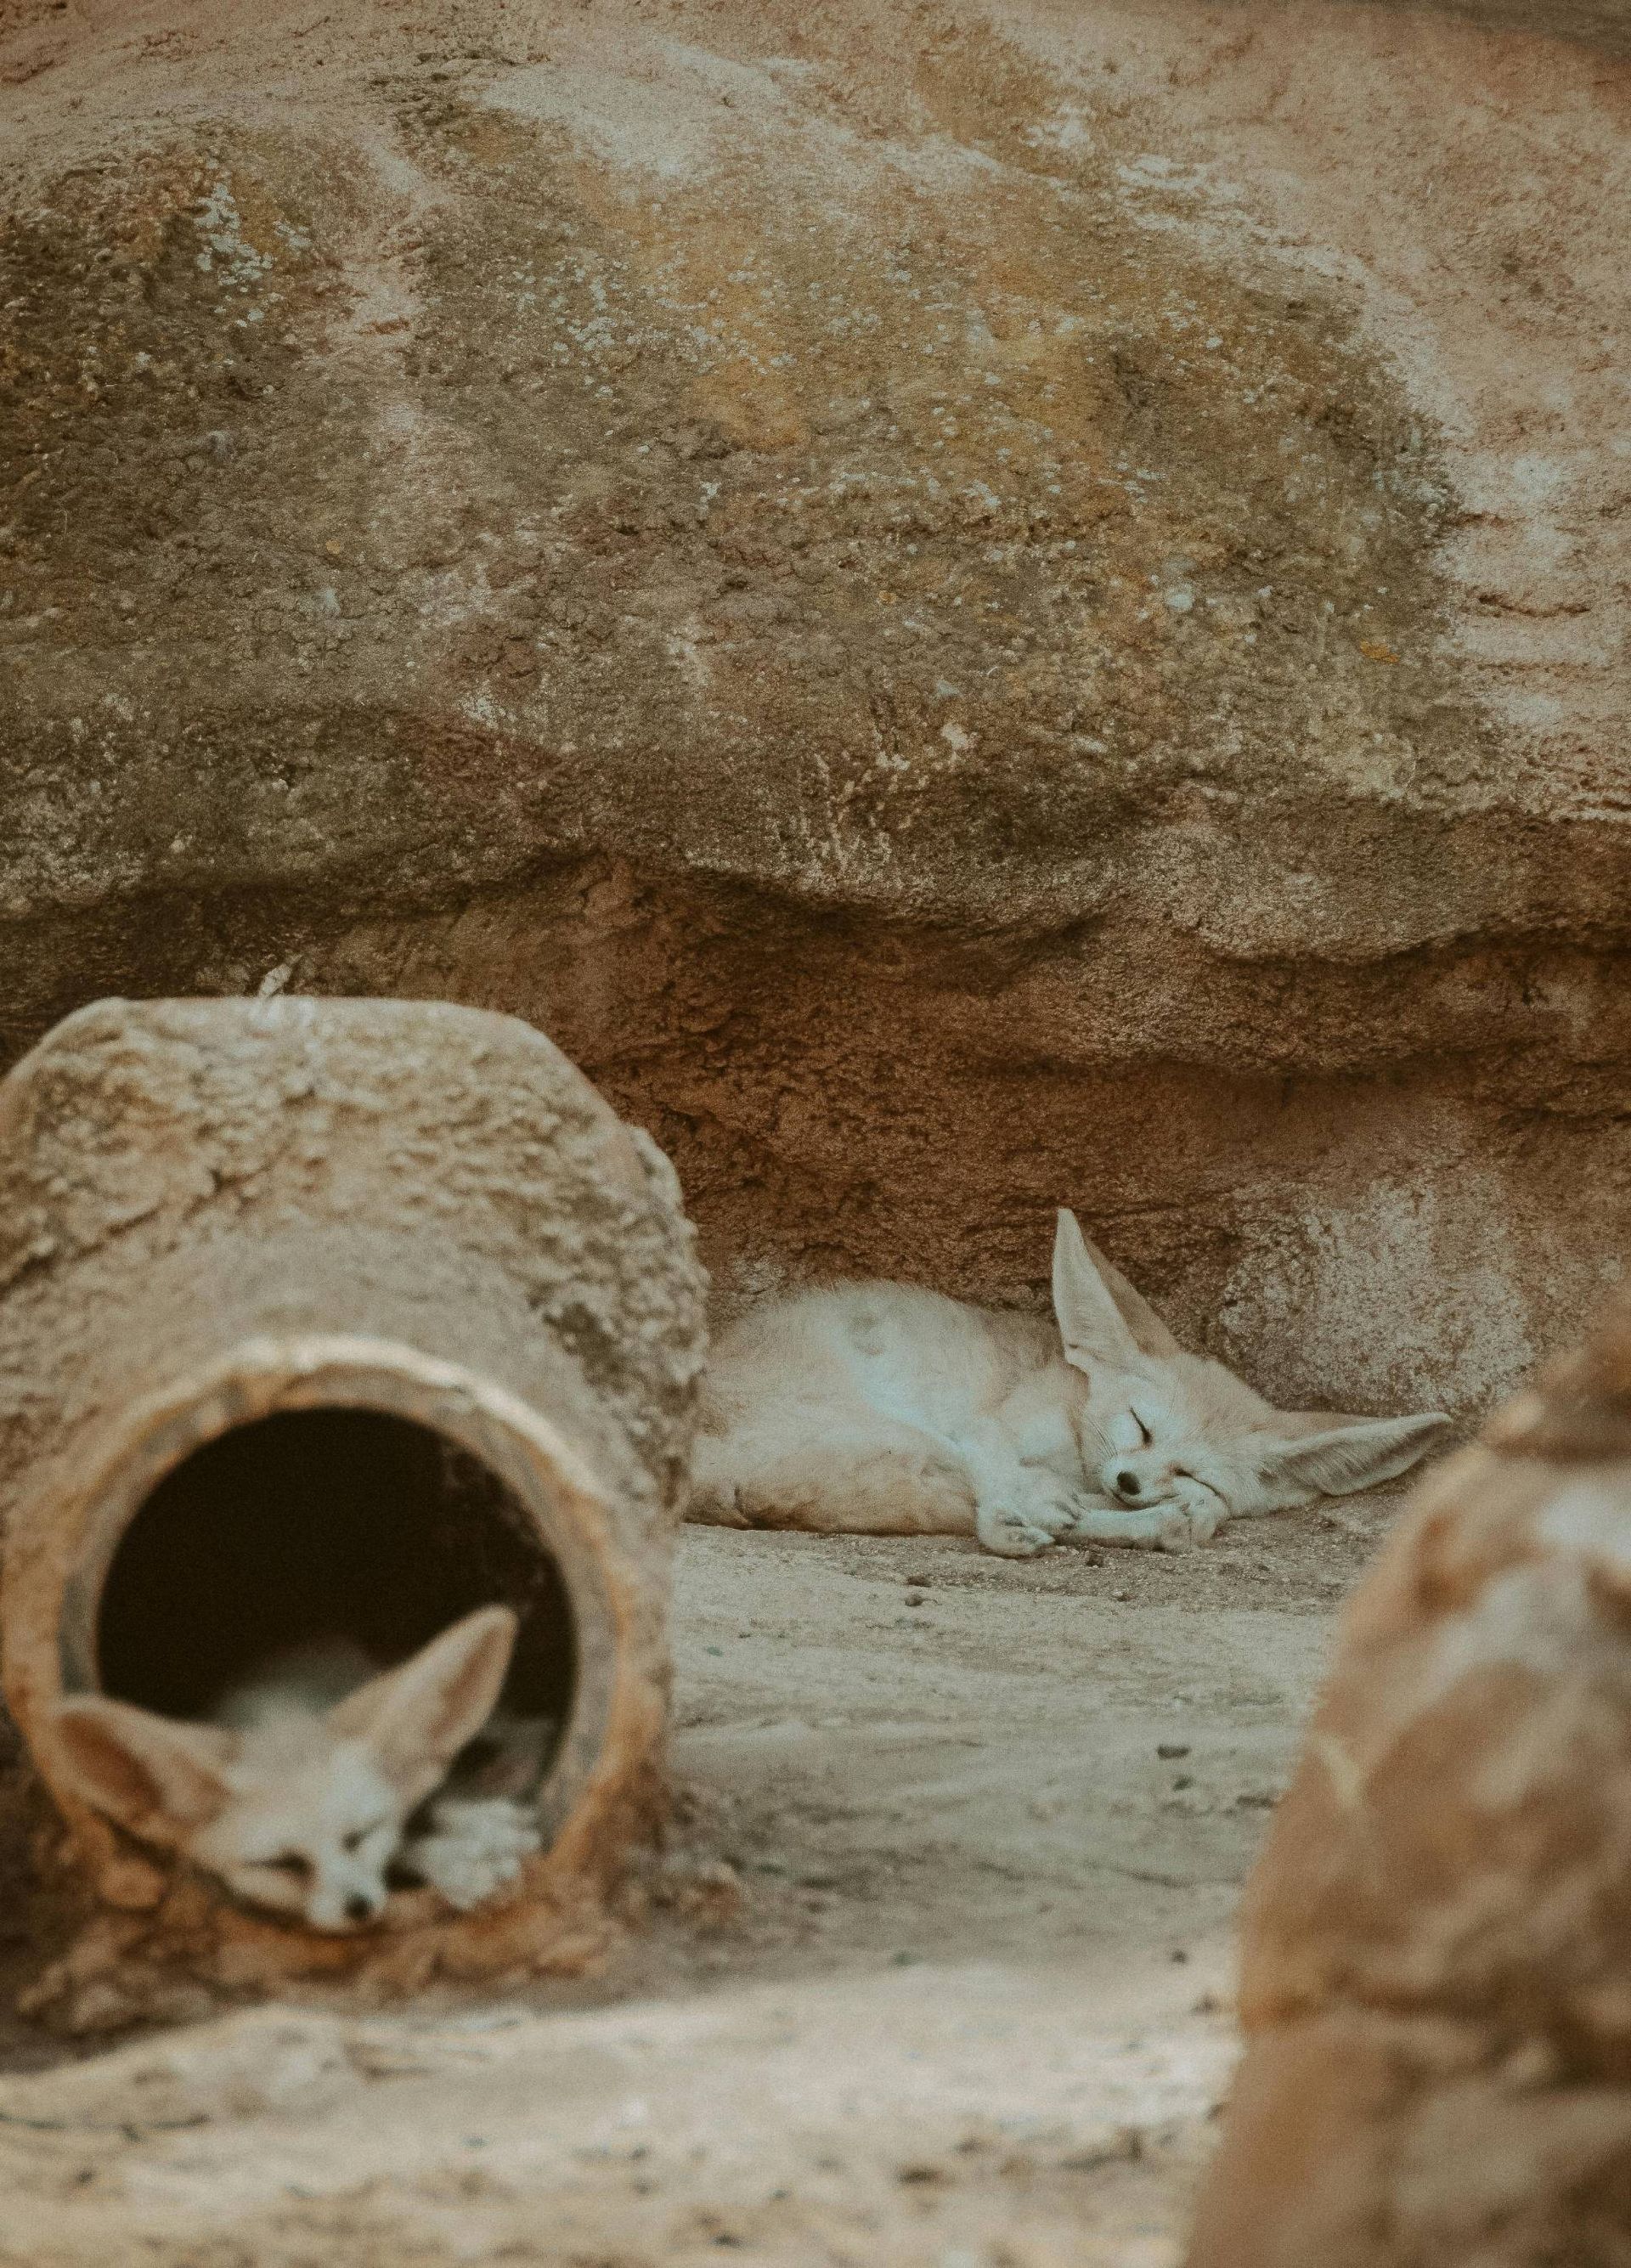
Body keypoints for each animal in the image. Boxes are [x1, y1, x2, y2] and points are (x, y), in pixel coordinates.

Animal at [50, 1604, 543, 1931]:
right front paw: (456, 1856)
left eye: (359, 1836)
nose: (359, 1908)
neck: (276, 1702)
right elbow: (411, 1841)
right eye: (282, 1863)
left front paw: (475, 1827)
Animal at [690, 1209, 1451, 1557]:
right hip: (900, 1429)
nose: (1132, 1481)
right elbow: (1000, 1471)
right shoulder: (982, 1426)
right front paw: (1019, 1512)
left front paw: (1165, 1509)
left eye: (1191, 1467)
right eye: (1140, 1425)